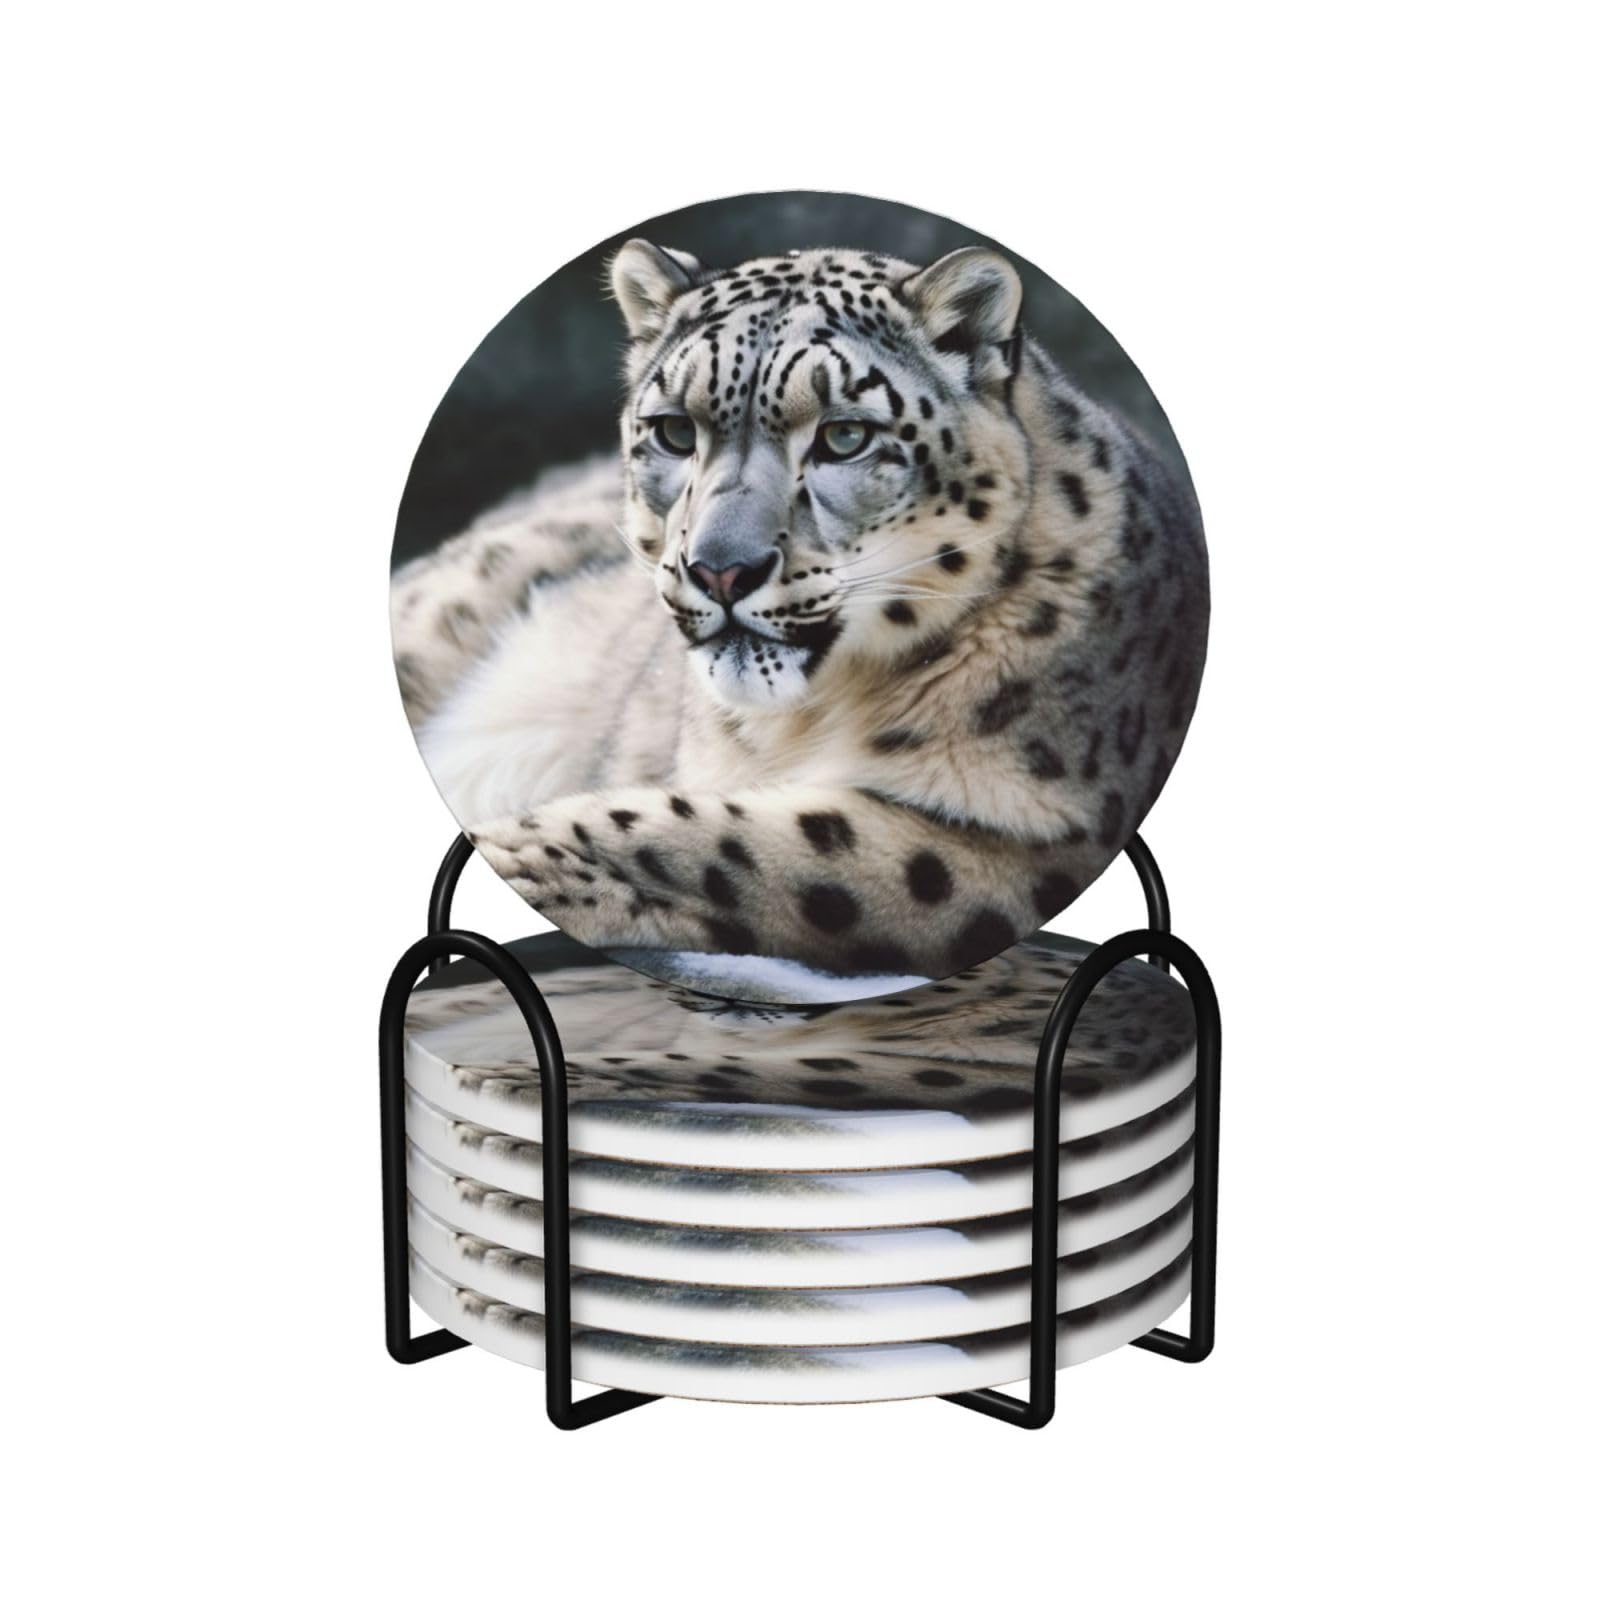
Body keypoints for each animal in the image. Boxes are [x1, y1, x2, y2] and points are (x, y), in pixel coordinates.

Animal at [390, 241, 1208, 990]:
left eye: (846, 435)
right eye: (674, 431)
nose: (721, 569)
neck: (805, 721)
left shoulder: (1018, 844)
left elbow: (719, 840)